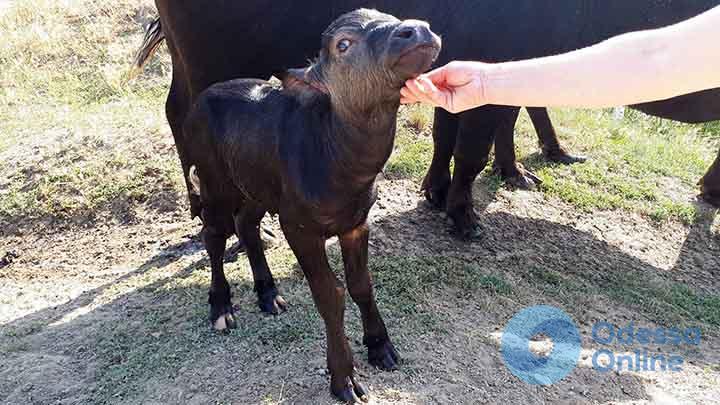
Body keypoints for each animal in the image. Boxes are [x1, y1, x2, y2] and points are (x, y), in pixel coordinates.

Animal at [139, 0, 720, 237]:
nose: (415, 29)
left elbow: (452, 133)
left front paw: (439, 192)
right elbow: (473, 145)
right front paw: (463, 215)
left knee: (173, 108)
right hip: (207, 59)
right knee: (185, 115)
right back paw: (208, 214)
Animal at [183, 9, 442, 400]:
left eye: (390, 16)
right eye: (343, 44)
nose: (418, 30)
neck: (336, 157)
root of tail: (202, 99)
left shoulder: (356, 223)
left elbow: (361, 283)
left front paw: (381, 346)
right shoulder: (299, 229)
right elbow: (330, 295)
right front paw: (344, 378)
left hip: (257, 186)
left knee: (246, 223)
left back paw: (268, 294)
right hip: (215, 184)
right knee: (213, 234)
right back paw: (221, 307)